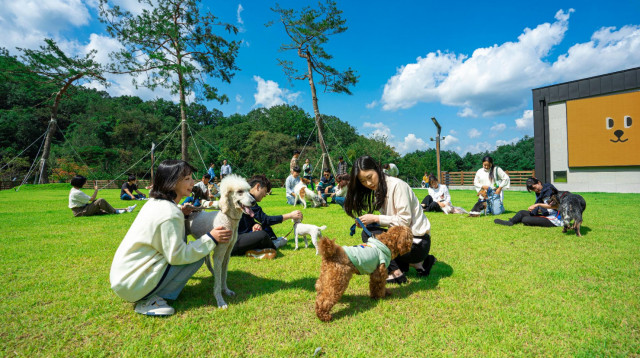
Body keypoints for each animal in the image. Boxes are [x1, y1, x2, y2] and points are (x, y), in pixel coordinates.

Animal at [185, 175, 255, 310]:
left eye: (249, 191)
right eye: (239, 191)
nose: (254, 201)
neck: (227, 219)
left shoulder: (227, 253)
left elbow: (223, 275)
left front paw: (226, 290)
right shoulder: (218, 254)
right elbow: (218, 281)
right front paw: (220, 301)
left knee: (208, 263)